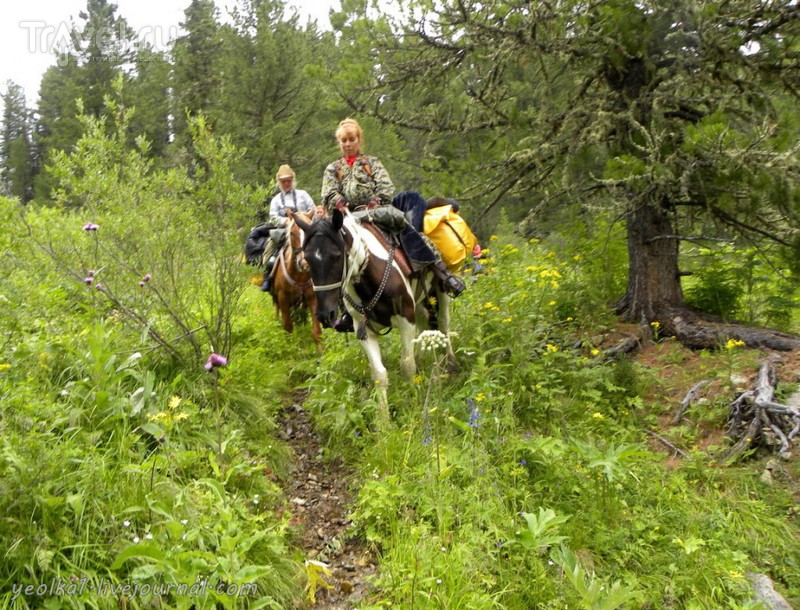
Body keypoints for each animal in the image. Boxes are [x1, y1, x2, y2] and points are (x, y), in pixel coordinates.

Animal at [268, 211, 320, 350]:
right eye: (291, 233)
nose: (304, 263)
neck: (299, 276)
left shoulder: (312, 298)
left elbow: (317, 332)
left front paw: (321, 352)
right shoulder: (283, 298)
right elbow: (287, 328)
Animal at [296, 208, 456, 408]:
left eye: (336, 256)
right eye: (307, 259)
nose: (325, 315)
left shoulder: (406, 320)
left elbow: (407, 365)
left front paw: (415, 399)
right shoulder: (363, 330)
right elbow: (379, 375)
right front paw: (384, 414)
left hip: (441, 291)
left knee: (443, 323)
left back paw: (451, 363)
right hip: (418, 303)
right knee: (424, 324)